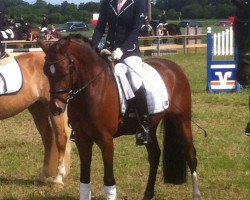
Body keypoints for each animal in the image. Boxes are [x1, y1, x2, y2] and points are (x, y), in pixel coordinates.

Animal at [0, 51, 71, 184]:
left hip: (55, 109)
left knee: (61, 138)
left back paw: (58, 177)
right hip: (37, 108)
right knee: (47, 138)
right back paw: (43, 175)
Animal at [38, 34, 201, 200]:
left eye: (65, 71)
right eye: (45, 72)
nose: (56, 108)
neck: (92, 89)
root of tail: (172, 66)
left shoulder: (106, 139)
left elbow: (109, 179)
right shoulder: (82, 139)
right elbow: (84, 178)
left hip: (182, 120)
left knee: (190, 155)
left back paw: (196, 194)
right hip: (150, 127)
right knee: (155, 155)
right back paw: (148, 194)